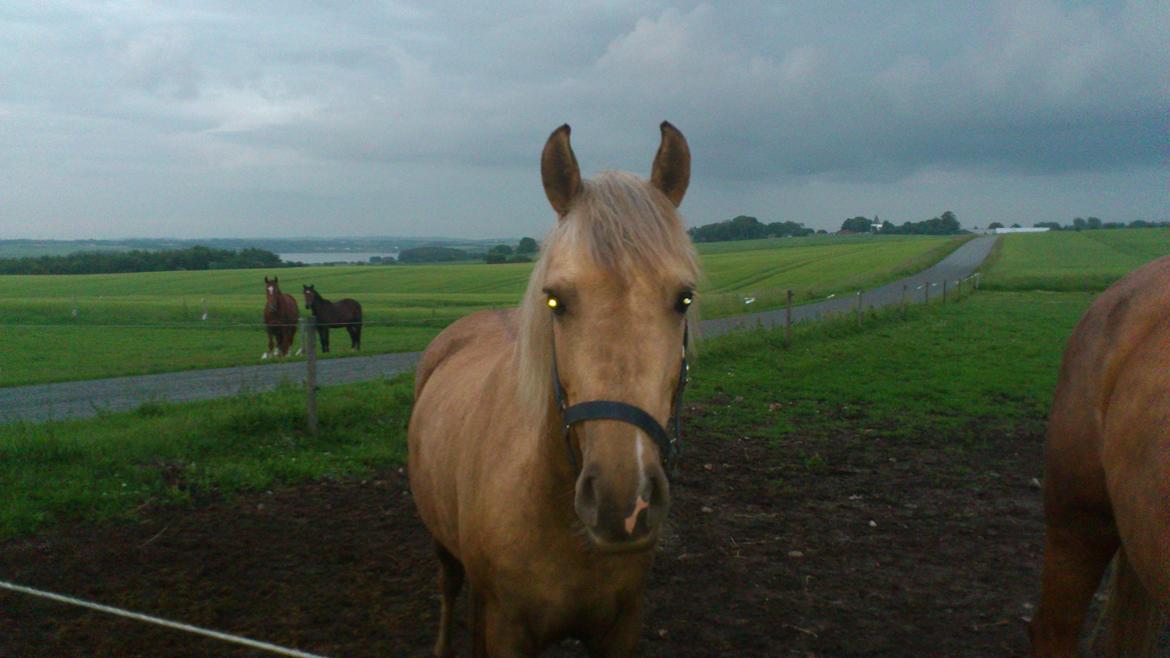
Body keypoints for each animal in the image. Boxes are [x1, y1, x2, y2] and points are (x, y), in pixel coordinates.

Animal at [407, 121, 697, 650]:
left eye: (684, 298)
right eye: (555, 300)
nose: (624, 504)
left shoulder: (622, 624)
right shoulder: (503, 627)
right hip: (441, 540)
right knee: (448, 585)